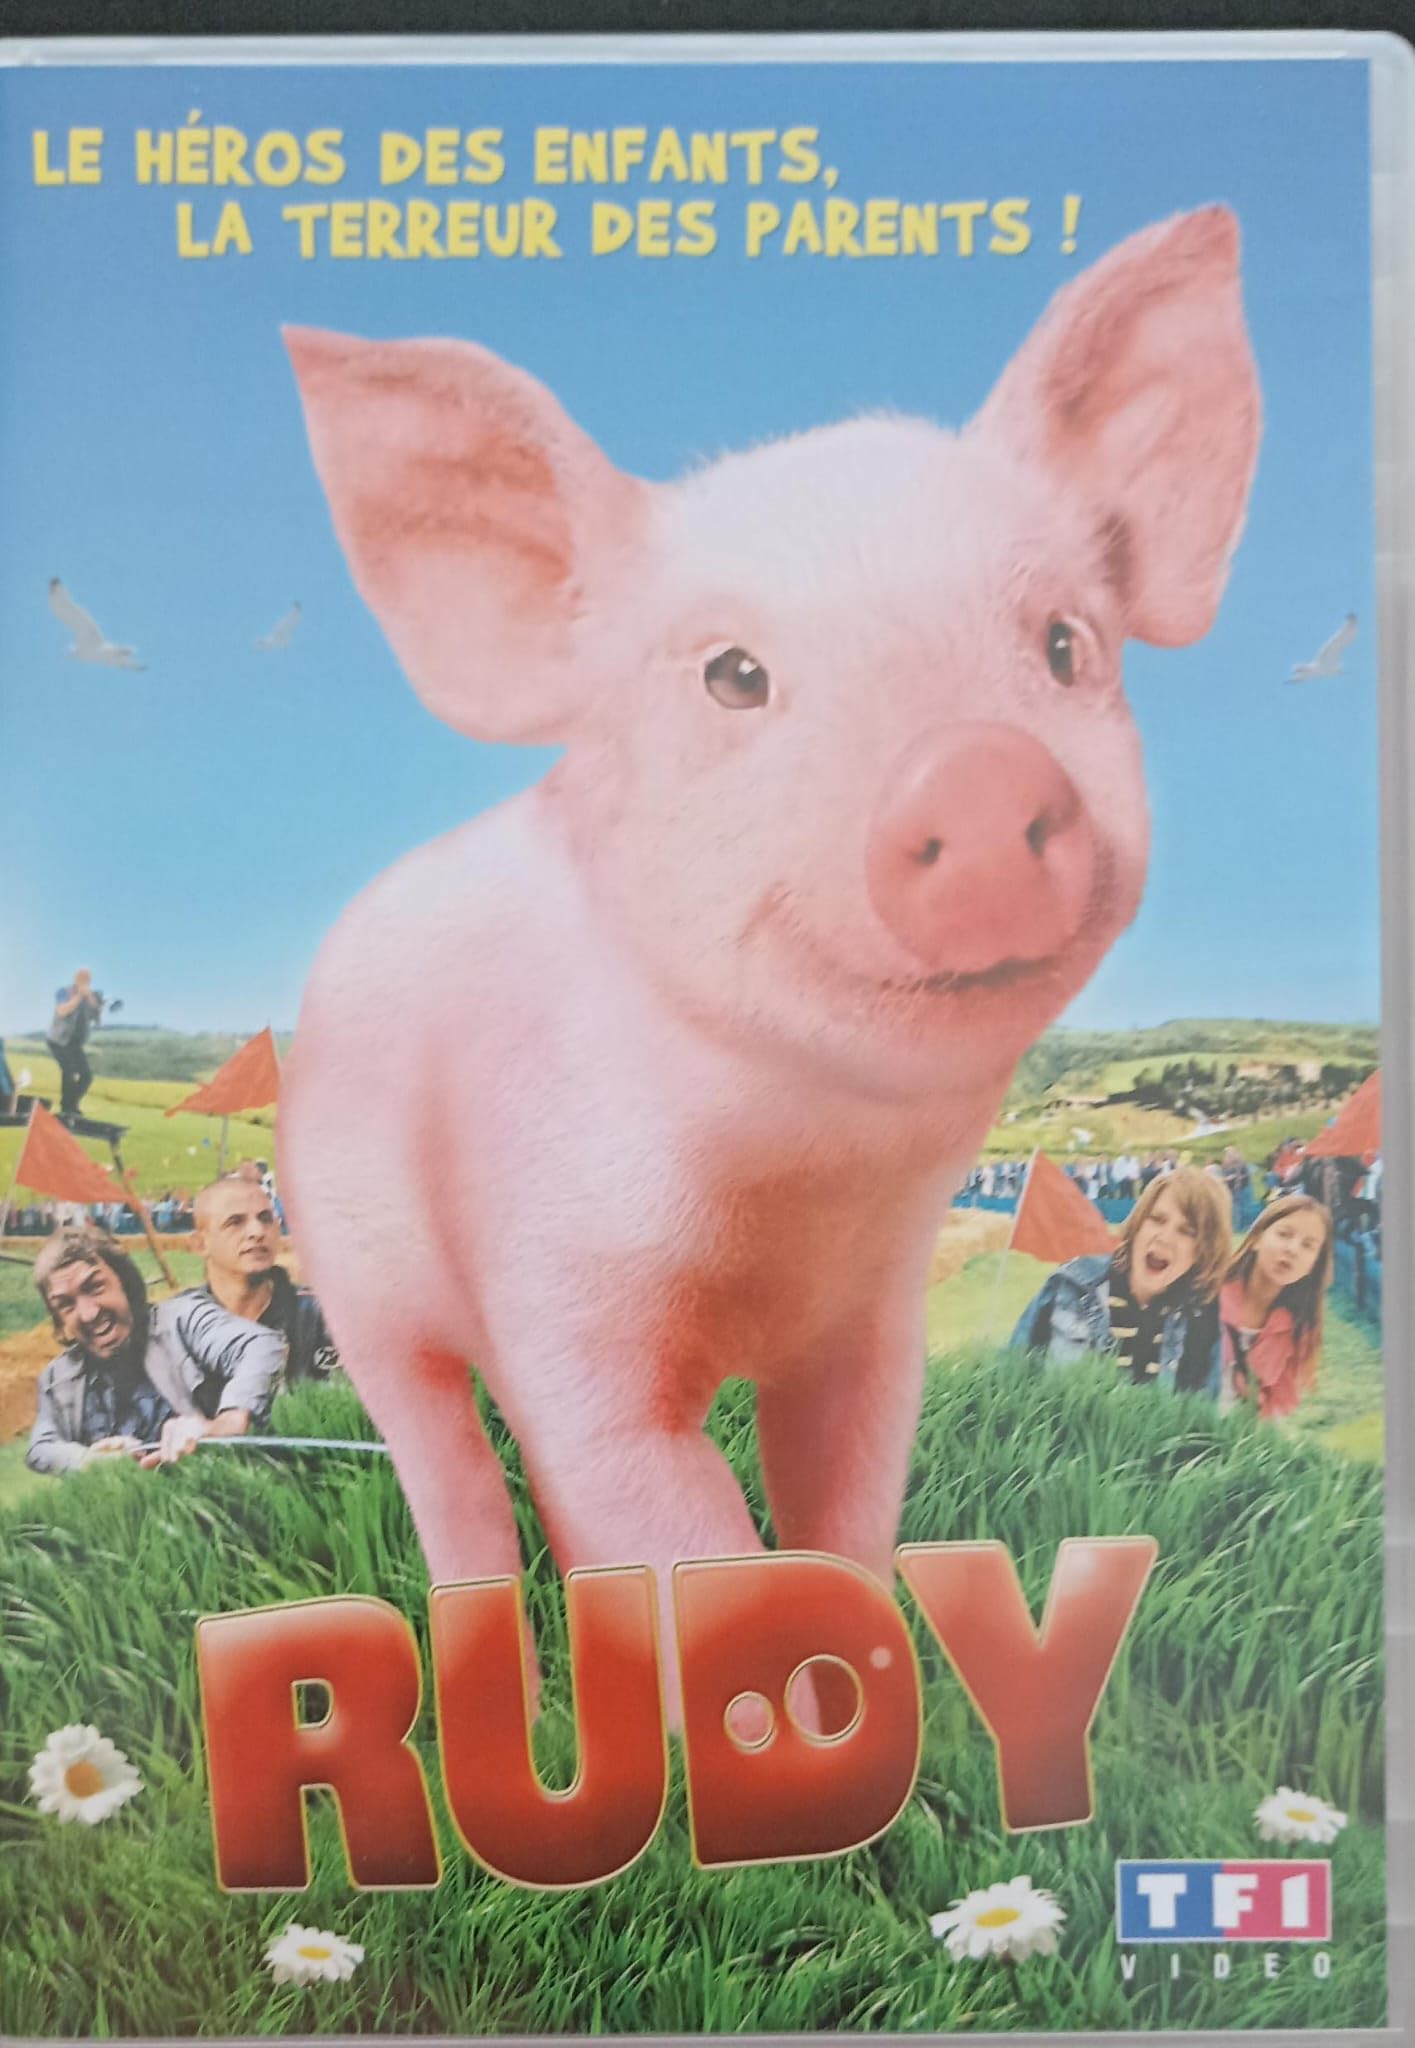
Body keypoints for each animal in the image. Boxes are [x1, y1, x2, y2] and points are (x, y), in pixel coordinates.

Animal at [280, 205, 1259, 1719]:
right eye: (731, 675)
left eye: (1061, 645)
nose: (975, 768)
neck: (800, 1182)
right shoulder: (559, 1289)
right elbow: (685, 1532)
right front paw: (775, 1743)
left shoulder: (871, 1316)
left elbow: (844, 1507)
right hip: (355, 1271)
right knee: (446, 1466)